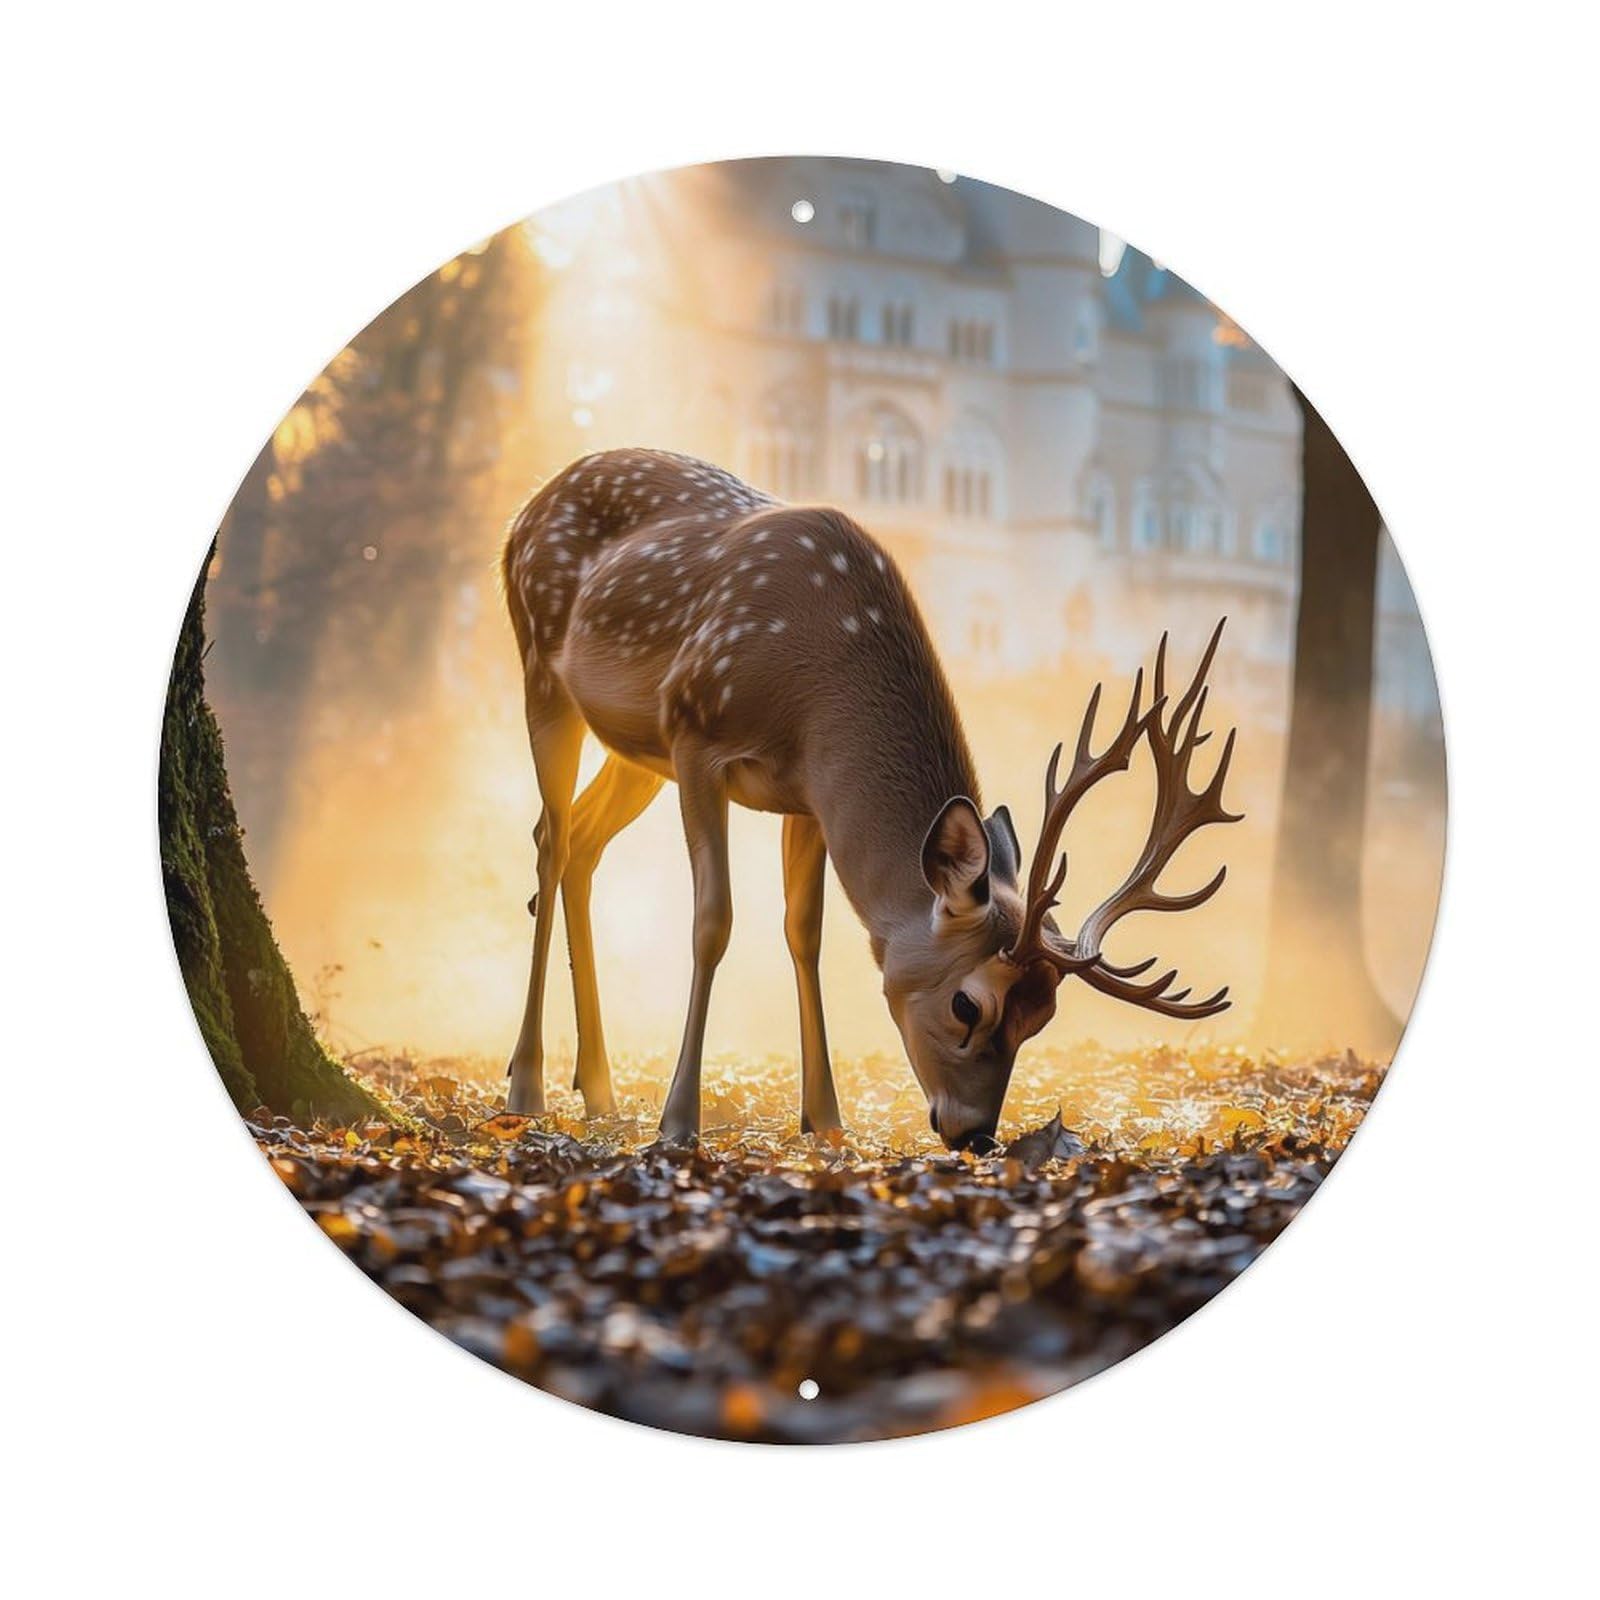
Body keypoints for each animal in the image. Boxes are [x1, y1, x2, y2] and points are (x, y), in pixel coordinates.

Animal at [500, 448, 1241, 1149]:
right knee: (549, 838)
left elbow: (806, 932)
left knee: (583, 844)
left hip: (636, 754)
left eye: (1044, 1015)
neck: (813, 691)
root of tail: (525, 510)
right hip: (544, 669)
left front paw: (826, 1121)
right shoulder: (696, 733)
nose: (975, 1134)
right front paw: (679, 1122)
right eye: (968, 1006)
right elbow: (714, 920)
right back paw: (526, 1086)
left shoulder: (806, 796)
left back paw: (598, 1090)